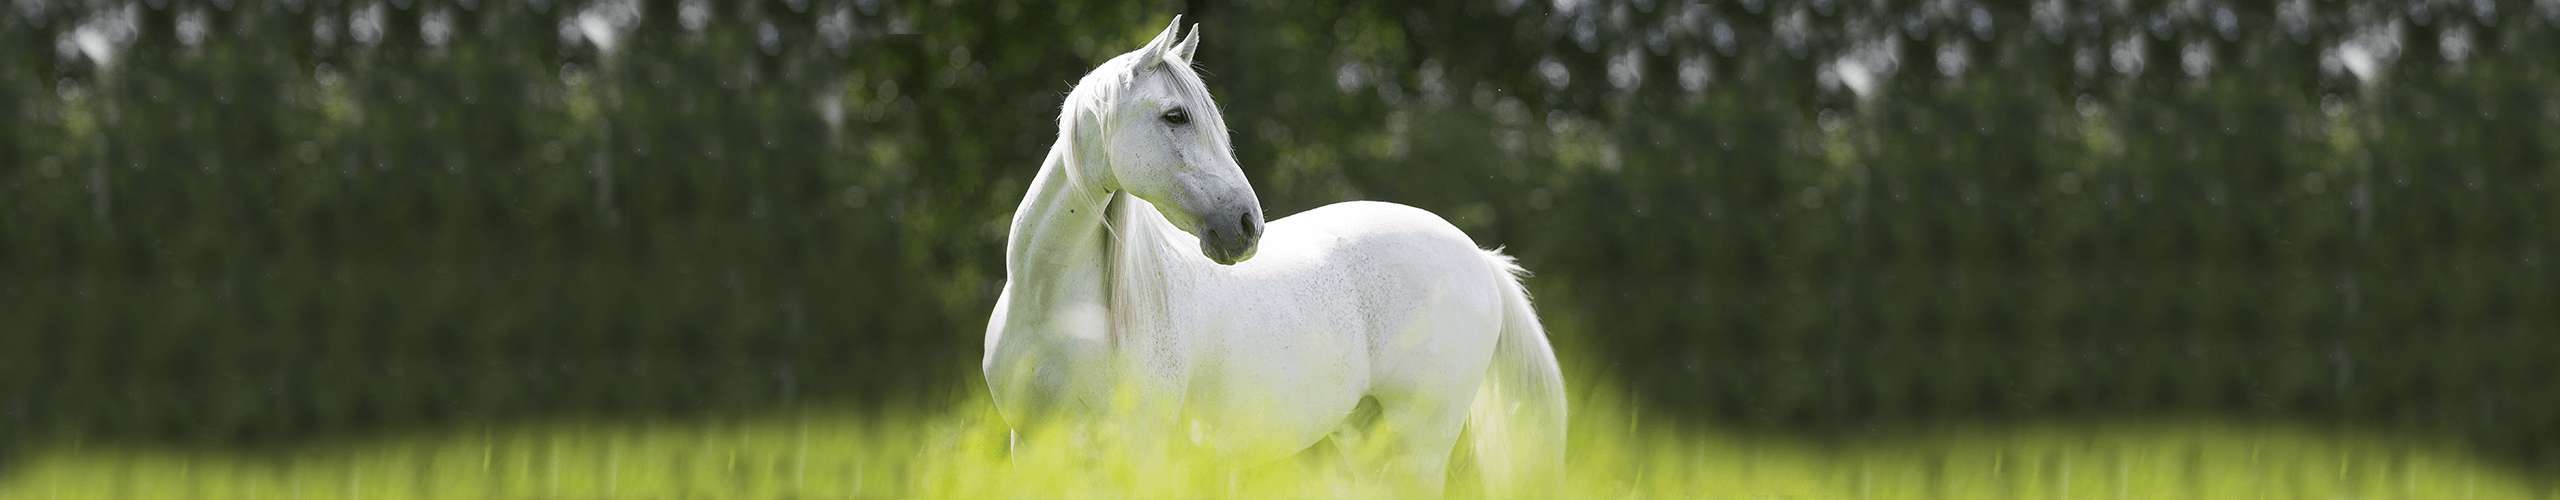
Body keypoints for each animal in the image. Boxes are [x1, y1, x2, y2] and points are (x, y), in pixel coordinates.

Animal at [988, 17, 1566, 494]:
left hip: (1417, 444)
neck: (1056, 305)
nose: (1247, 226)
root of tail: (1477, 257)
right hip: (1364, 438)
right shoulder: (1032, 447)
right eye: (1175, 116)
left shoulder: (1137, 448)